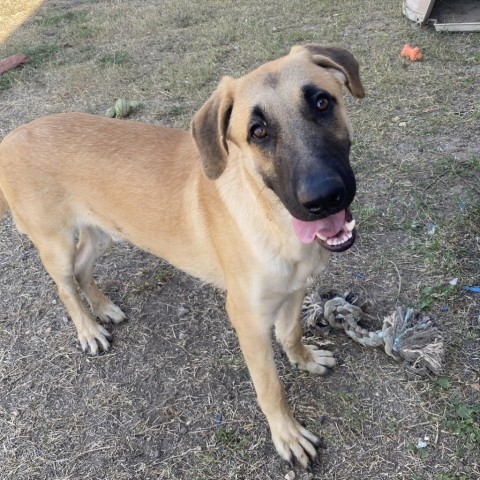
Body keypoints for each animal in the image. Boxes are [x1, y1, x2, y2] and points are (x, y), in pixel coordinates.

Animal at [0, 44, 364, 464]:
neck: (273, 219)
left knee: (82, 269)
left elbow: (290, 333)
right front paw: (287, 435)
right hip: (55, 243)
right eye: (257, 132)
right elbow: (270, 387)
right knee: (65, 286)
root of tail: (11, 136)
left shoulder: (294, 291)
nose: (324, 197)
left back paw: (103, 307)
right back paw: (89, 329)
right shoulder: (248, 319)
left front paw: (303, 359)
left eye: (323, 102)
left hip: (104, 233)